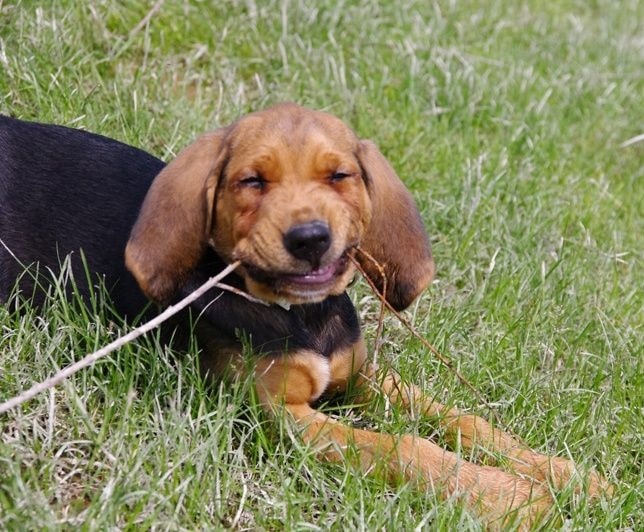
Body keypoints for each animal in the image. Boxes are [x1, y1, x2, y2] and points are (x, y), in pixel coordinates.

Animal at [0, 105, 608, 528]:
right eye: (252, 182)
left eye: (339, 176)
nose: (310, 238)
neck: (302, 317)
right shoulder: (279, 414)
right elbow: (400, 446)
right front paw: (508, 496)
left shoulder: (357, 376)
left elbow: (460, 419)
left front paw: (562, 474)